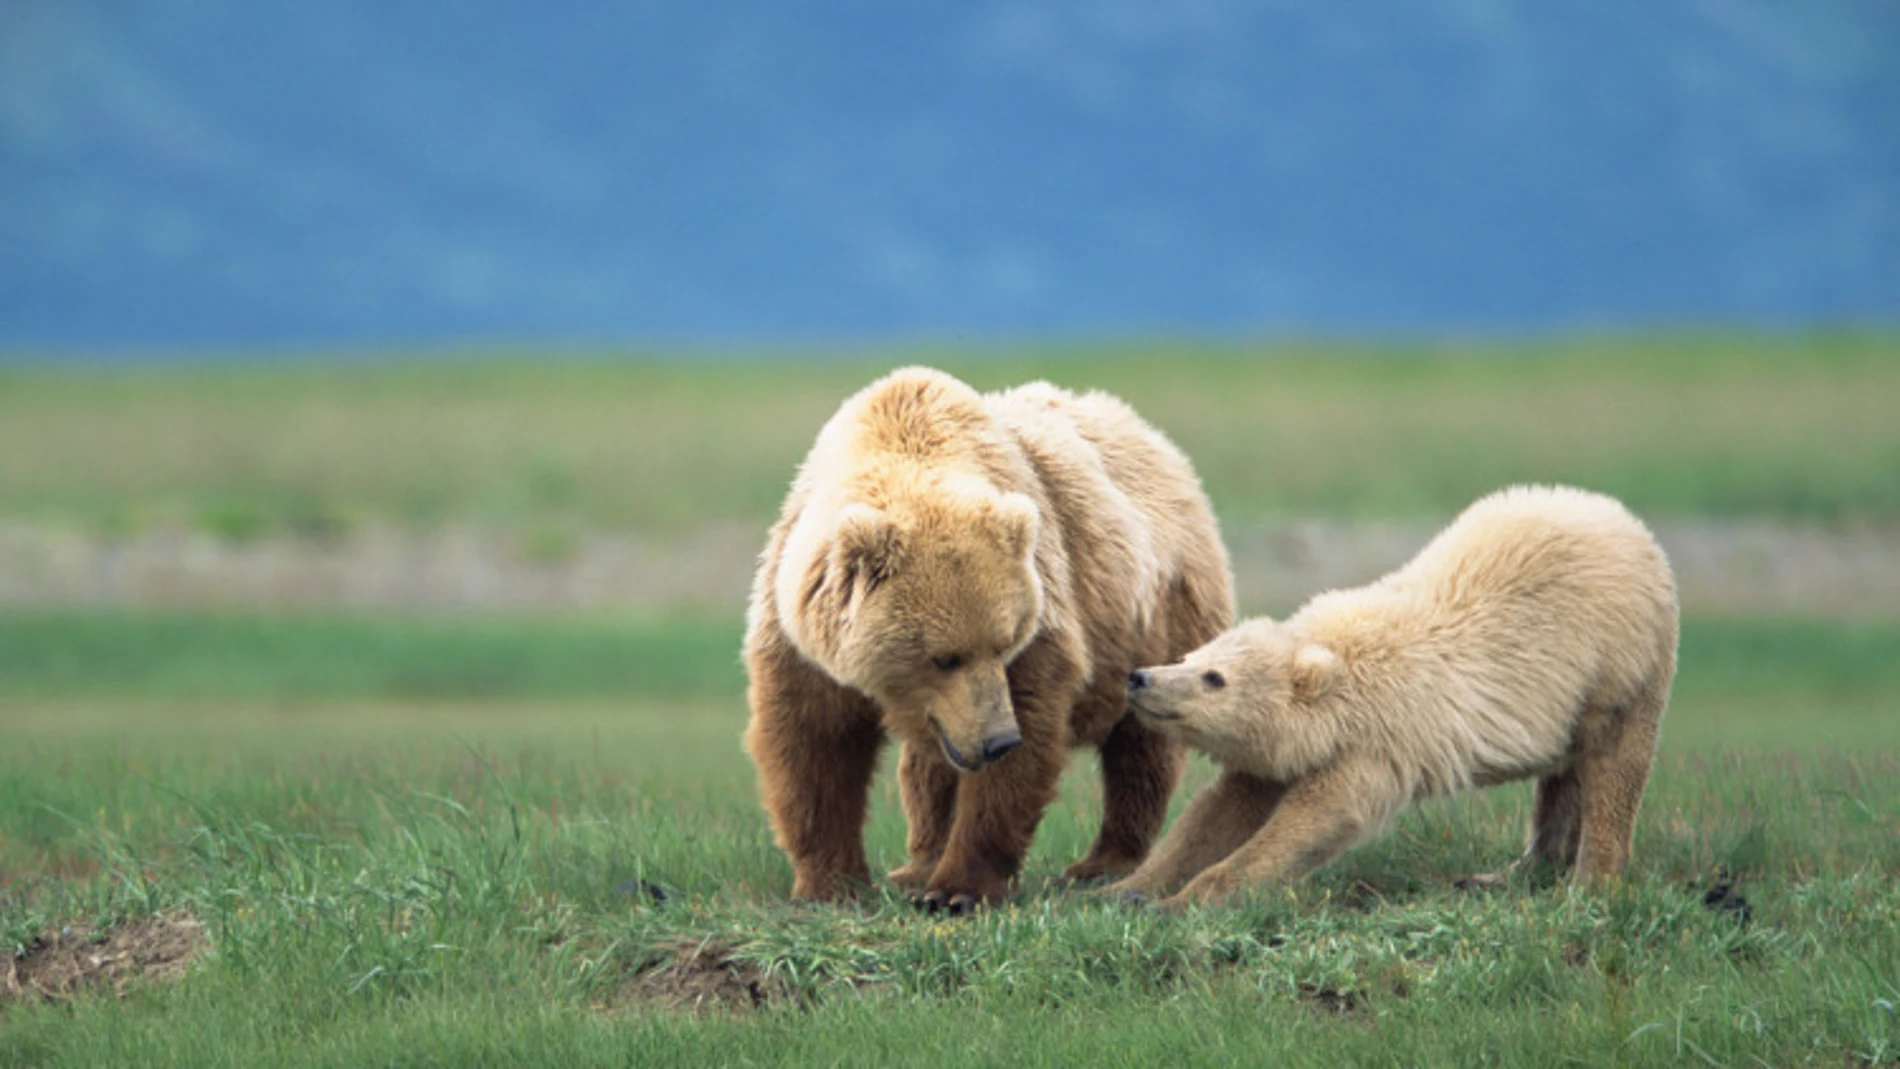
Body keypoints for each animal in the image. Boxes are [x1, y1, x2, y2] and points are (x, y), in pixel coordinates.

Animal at [742, 366, 1234, 913]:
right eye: (943, 657)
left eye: (1005, 642)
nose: (998, 738)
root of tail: (1160, 444)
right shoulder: (798, 622)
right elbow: (814, 741)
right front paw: (832, 883)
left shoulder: (1042, 597)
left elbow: (1027, 733)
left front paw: (958, 889)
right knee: (929, 767)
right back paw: (917, 864)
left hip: (1157, 616)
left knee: (1140, 747)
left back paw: (1101, 862)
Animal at [1112, 484, 1678, 907]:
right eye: (1186, 657)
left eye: (1214, 677)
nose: (1141, 678)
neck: (1341, 666)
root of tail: (1632, 527)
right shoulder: (1283, 752)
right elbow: (1220, 811)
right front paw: (1126, 890)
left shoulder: (1380, 738)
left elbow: (1318, 817)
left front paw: (1188, 899)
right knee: (1561, 781)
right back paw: (1507, 874)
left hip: (1617, 664)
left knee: (1613, 764)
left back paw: (1588, 883)